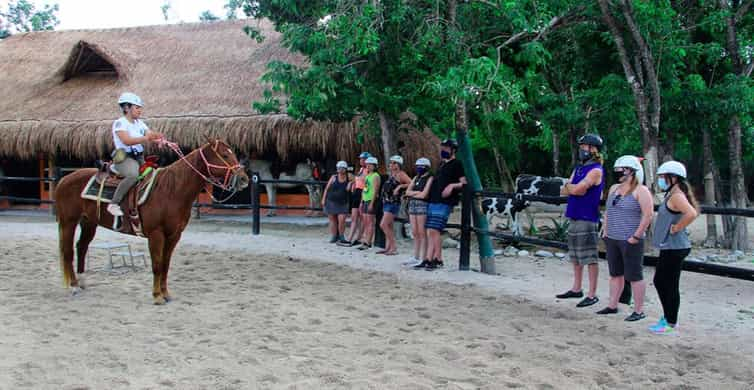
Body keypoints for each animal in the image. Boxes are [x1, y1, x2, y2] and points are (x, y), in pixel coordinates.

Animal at [56, 140, 250, 304]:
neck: (172, 190)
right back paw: (73, 286)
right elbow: (156, 265)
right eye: (224, 155)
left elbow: (165, 265)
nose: (244, 179)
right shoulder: (156, 234)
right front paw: (157, 296)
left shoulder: (174, 235)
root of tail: (64, 179)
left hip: (89, 223)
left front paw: (166, 294)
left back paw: (82, 282)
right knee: (68, 252)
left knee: (81, 247)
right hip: (68, 222)